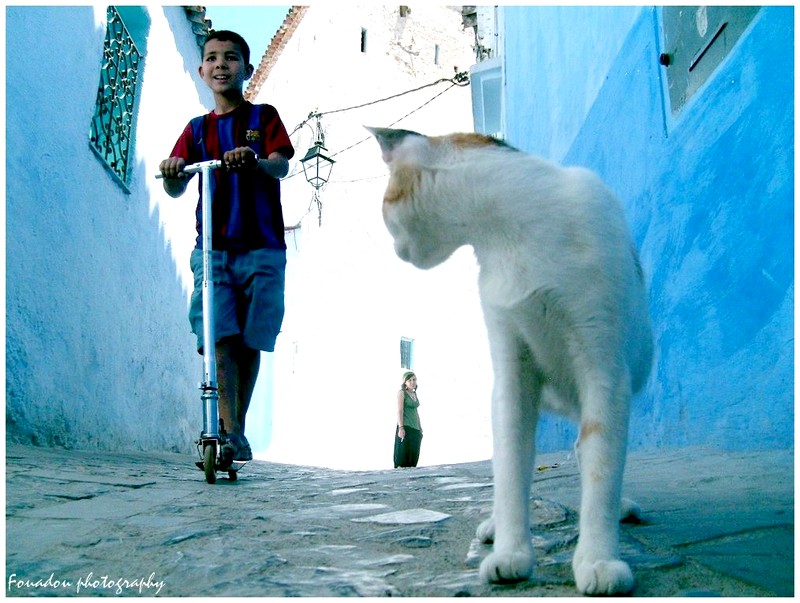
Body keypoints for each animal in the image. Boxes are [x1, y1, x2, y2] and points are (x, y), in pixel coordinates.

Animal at [368, 126, 656, 596]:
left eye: (385, 208)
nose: (395, 252)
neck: (508, 233)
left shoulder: (604, 369)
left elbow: (602, 467)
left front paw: (597, 558)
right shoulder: (511, 374)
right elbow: (510, 467)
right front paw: (511, 551)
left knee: (590, 450)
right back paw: (492, 526)